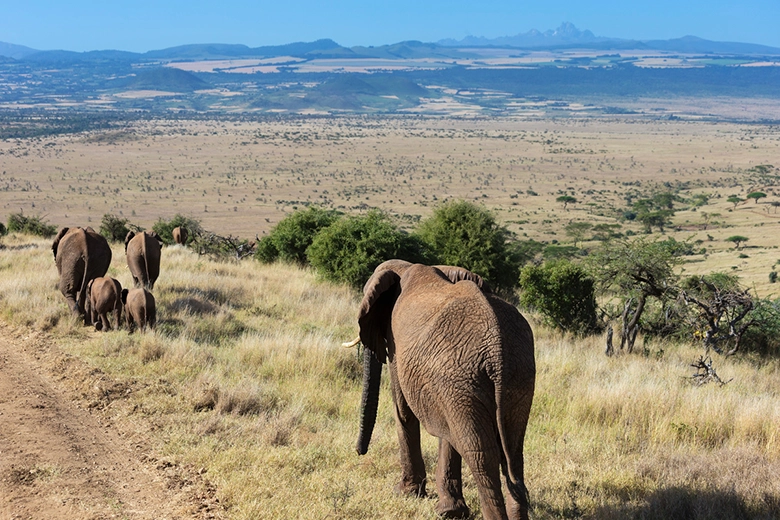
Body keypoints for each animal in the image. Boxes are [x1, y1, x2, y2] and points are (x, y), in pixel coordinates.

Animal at [348, 260, 536, 520]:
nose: (359, 451)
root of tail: (497, 350)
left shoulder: (398, 345)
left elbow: (403, 410)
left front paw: (405, 493)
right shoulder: (441, 385)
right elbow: (447, 433)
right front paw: (450, 511)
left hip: (464, 376)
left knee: (482, 457)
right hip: (512, 377)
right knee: (514, 454)